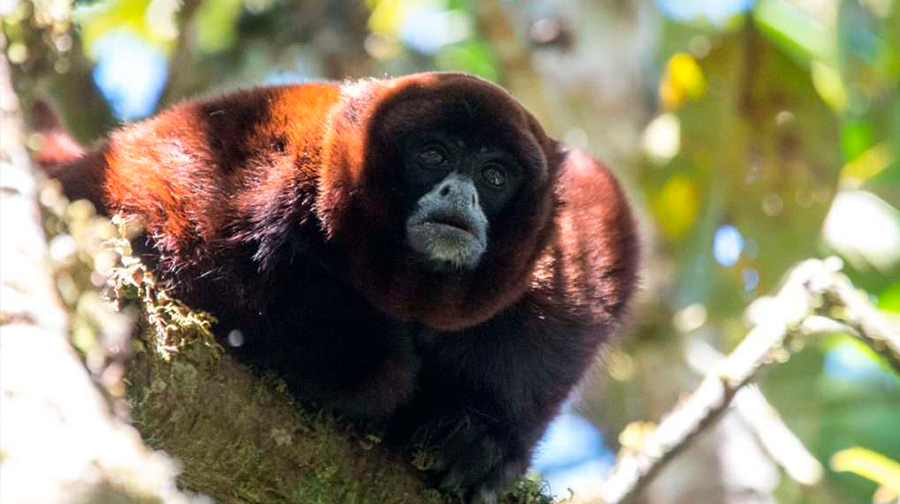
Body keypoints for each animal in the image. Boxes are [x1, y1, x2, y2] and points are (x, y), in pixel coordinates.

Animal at [33, 72, 640, 504]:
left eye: (494, 176)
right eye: (433, 155)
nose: (460, 194)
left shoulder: (577, 236)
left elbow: (598, 232)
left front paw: (484, 438)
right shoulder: (257, 175)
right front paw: (378, 380)